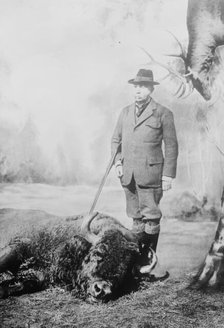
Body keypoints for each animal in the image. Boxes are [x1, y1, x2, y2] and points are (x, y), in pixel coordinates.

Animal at [0, 213, 158, 302]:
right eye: (97, 253)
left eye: (125, 268)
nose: (102, 289)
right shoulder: (17, 246)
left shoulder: (40, 275)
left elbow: (22, 284)